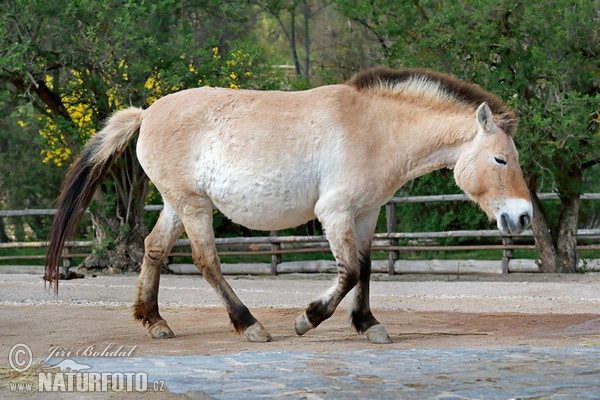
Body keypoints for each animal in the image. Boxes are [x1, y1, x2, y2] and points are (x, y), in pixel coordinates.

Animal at [47, 68, 536, 344]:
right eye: (500, 159)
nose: (523, 216)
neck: (376, 129)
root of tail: (146, 113)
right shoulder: (335, 213)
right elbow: (349, 272)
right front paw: (307, 320)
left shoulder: (365, 215)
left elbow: (366, 269)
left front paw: (368, 325)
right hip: (193, 206)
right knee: (207, 262)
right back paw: (249, 325)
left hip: (177, 203)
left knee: (153, 248)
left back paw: (154, 322)